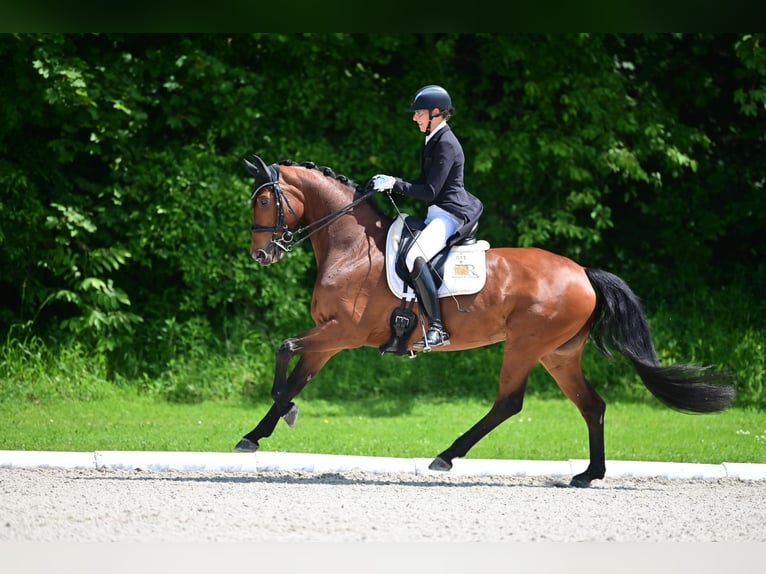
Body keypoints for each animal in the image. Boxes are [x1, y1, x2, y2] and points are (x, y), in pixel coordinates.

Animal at [236, 155, 736, 488]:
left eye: (263, 201)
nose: (261, 255)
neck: (352, 247)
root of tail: (582, 272)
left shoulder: (342, 332)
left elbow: (284, 351)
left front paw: (280, 416)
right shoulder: (330, 338)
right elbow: (297, 375)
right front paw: (256, 434)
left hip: (525, 345)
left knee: (508, 403)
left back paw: (446, 456)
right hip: (558, 354)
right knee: (591, 405)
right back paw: (589, 474)